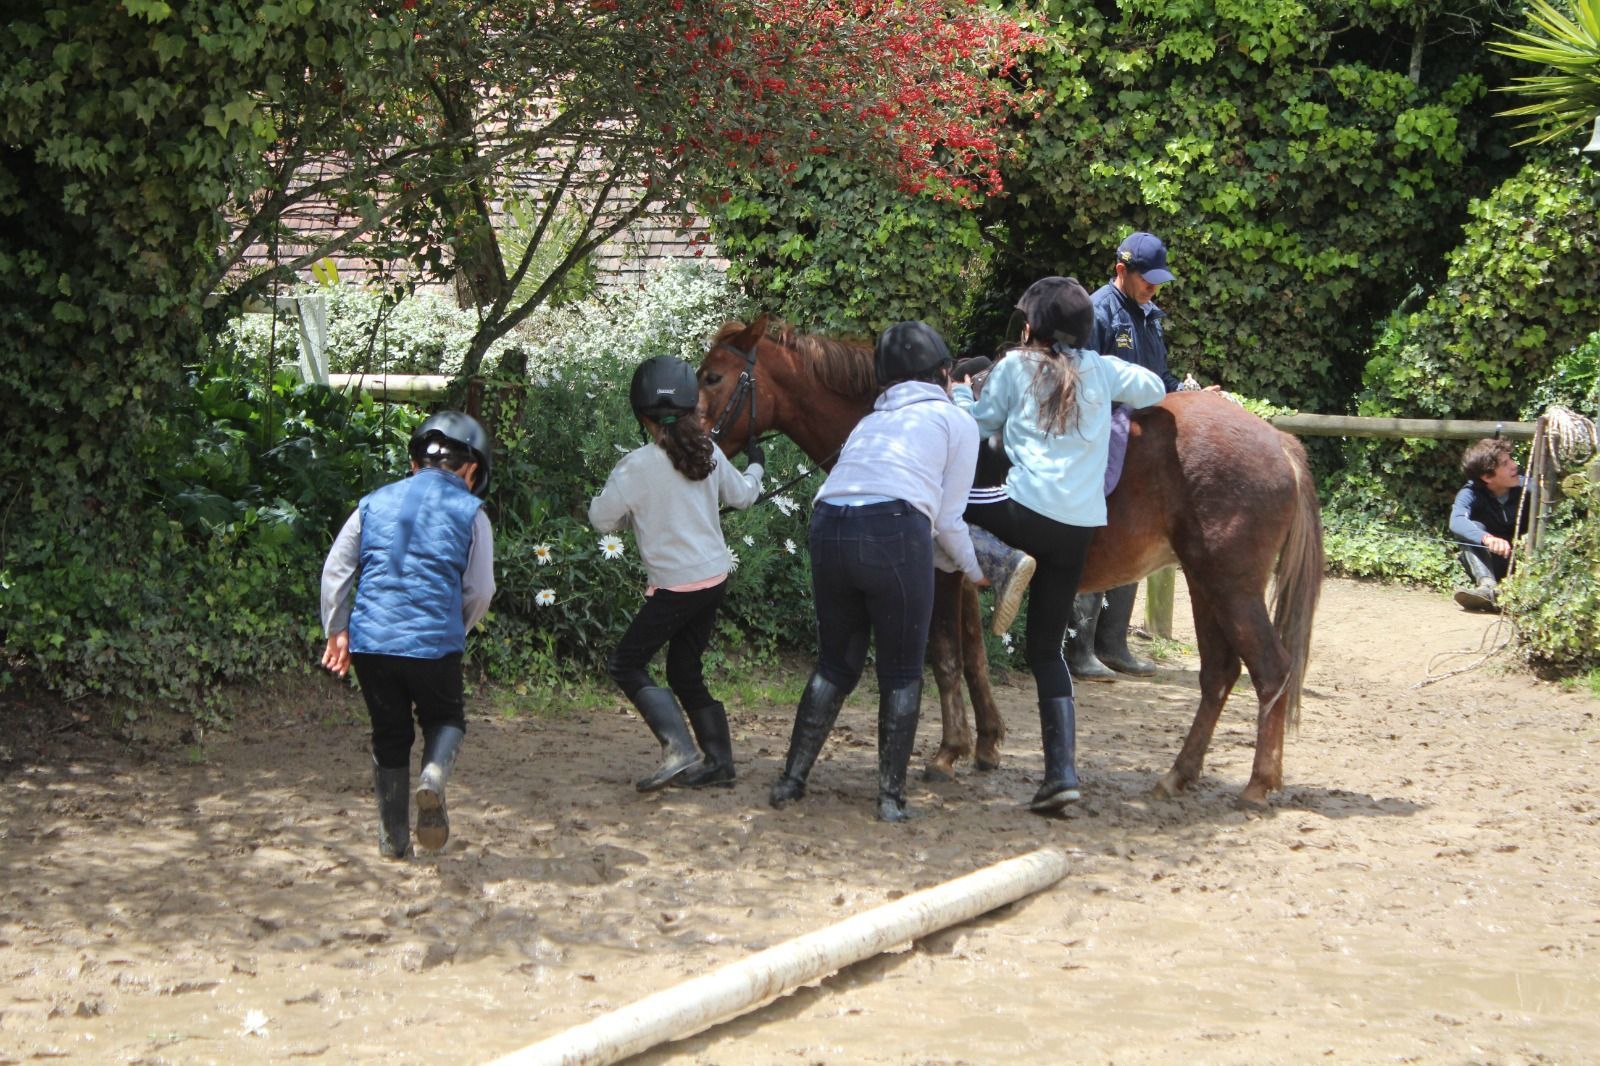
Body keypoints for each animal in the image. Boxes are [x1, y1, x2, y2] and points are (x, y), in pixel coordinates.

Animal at [698, 316, 1323, 807]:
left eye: (712, 377)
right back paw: (1178, 775)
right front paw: (985, 743)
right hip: (1204, 583)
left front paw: (949, 751)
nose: (687, 440)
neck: (902, 419)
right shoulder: (962, 575)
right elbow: (974, 656)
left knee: (1271, 669)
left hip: (1229, 585)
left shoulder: (936, 575)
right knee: (1220, 674)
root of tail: (1278, 441)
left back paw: (1259, 784)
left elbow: (945, 656)